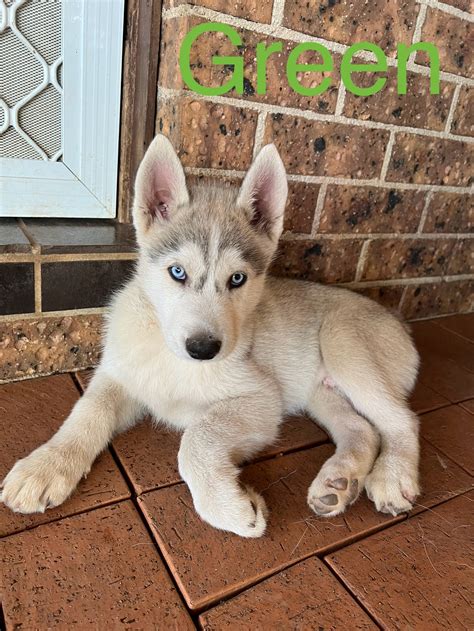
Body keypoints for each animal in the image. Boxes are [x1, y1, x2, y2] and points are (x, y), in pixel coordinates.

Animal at [1, 136, 420, 536]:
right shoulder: (121, 374)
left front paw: (228, 509)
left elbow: (197, 437)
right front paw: (46, 464)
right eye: (177, 272)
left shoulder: (262, 399)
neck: (170, 358)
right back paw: (337, 483)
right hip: (320, 391)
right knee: (362, 429)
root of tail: (400, 322)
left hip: (343, 341)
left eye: (237, 278)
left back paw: (392, 475)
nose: (203, 349)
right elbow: (87, 412)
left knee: (402, 420)